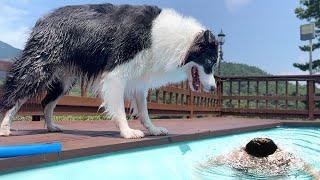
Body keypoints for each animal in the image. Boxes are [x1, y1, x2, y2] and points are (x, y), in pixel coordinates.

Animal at [0, 3, 218, 138]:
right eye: (209, 61)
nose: (214, 88)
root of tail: (42, 19)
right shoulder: (116, 72)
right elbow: (119, 107)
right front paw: (127, 132)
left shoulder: (139, 77)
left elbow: (144, 110)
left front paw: (154, 129)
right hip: (39, 67)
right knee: (14, 94)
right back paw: (5, 128)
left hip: (65, 79)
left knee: (46, 102)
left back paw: (52, 127)